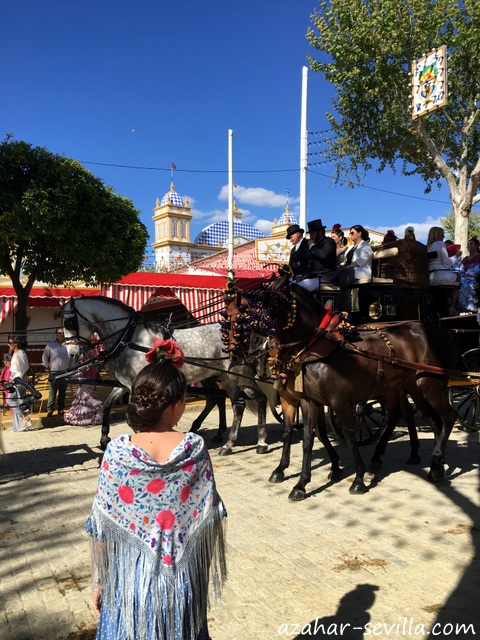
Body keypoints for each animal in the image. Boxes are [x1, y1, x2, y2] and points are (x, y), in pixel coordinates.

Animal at [249, 280, 460, 500]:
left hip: (430, 385)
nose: (255, 341)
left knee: (448, 417)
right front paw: (301, 484)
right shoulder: (309, 401)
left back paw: (435, 462)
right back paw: (435, 464)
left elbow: (350, 438)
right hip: (413, 387)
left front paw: (358, 479)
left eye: (275, 304)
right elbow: (307, 439)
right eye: (257, 305)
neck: (318, 346)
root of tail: (443, 333)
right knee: (430, 420)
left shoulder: (341, 402)